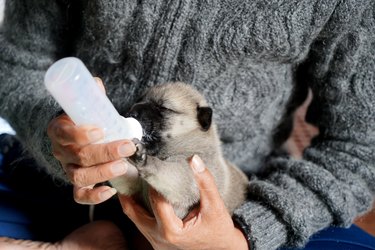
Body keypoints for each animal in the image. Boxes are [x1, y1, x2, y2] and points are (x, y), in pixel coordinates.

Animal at [110, 82, 248, 219]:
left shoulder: (187, 175)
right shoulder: (135, 186)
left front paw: (143, 158)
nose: (131, 112)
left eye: (163, 108)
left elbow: (165, 169)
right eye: (138, 101)